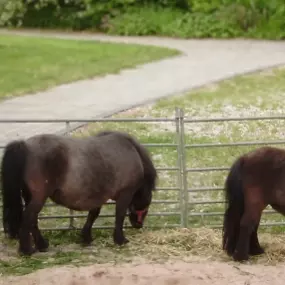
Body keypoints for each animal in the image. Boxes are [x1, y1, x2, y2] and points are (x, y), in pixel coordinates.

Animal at [1, 130, 156, 255]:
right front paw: (120, 239)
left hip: (30, 196)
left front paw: (86, 237)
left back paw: (42, 245)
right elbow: (119, 216)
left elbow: (93, 215)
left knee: (32, 221)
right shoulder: (125, 194)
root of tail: (25, 146)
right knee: (28, 218)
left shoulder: (99, 195)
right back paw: (27, 250)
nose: (138, 225)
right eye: (148, 201)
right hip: (39, 197)